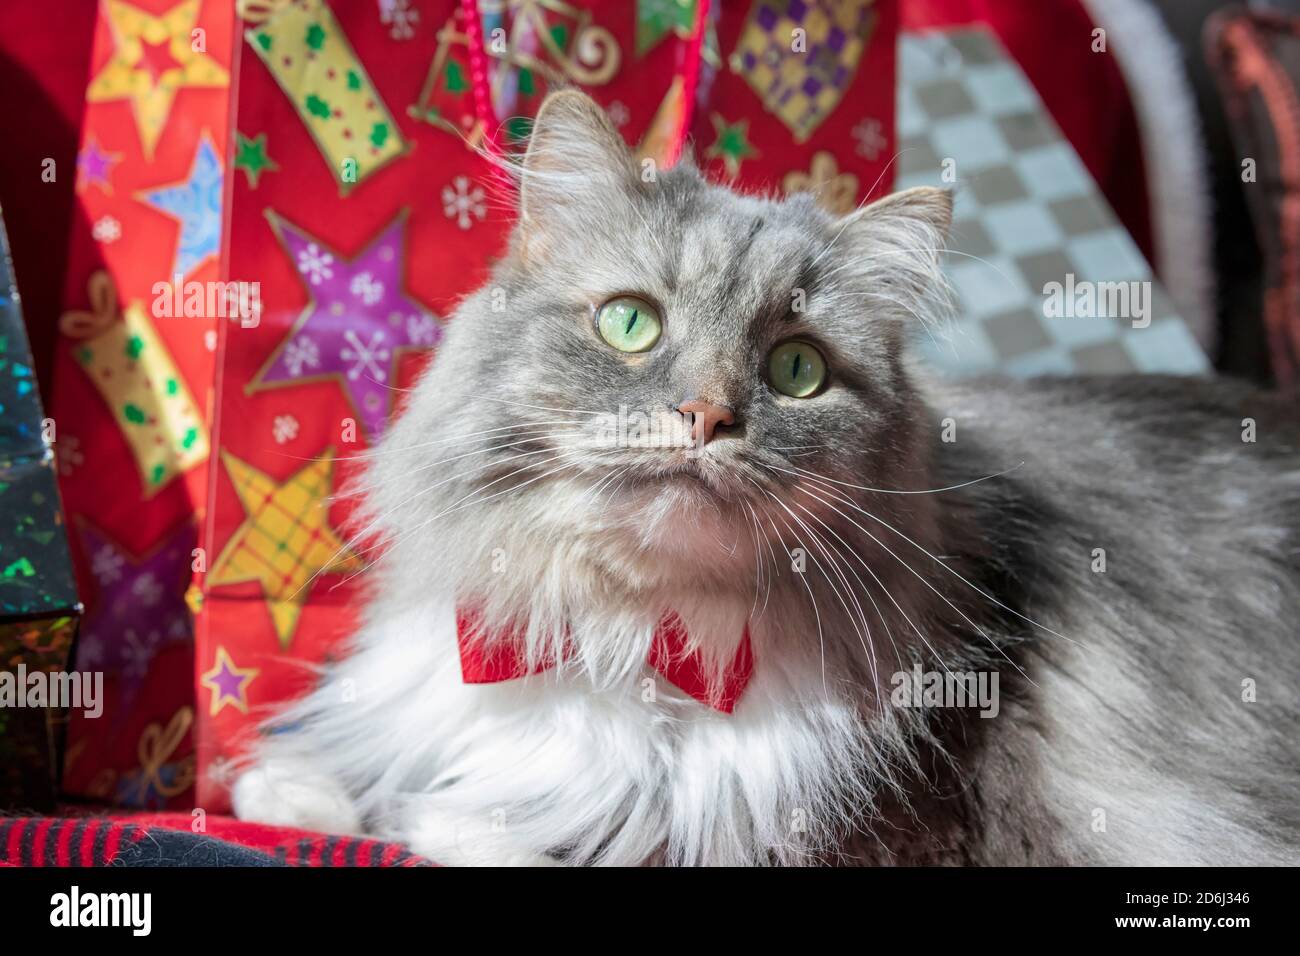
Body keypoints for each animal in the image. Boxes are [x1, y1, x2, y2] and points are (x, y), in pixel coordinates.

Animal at [233, 89, 1300, 868]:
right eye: (631, 324)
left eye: (797, 369)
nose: (706, 415)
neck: (631, 645)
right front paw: (299, 790)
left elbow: (506, 836)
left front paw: (430, 822)